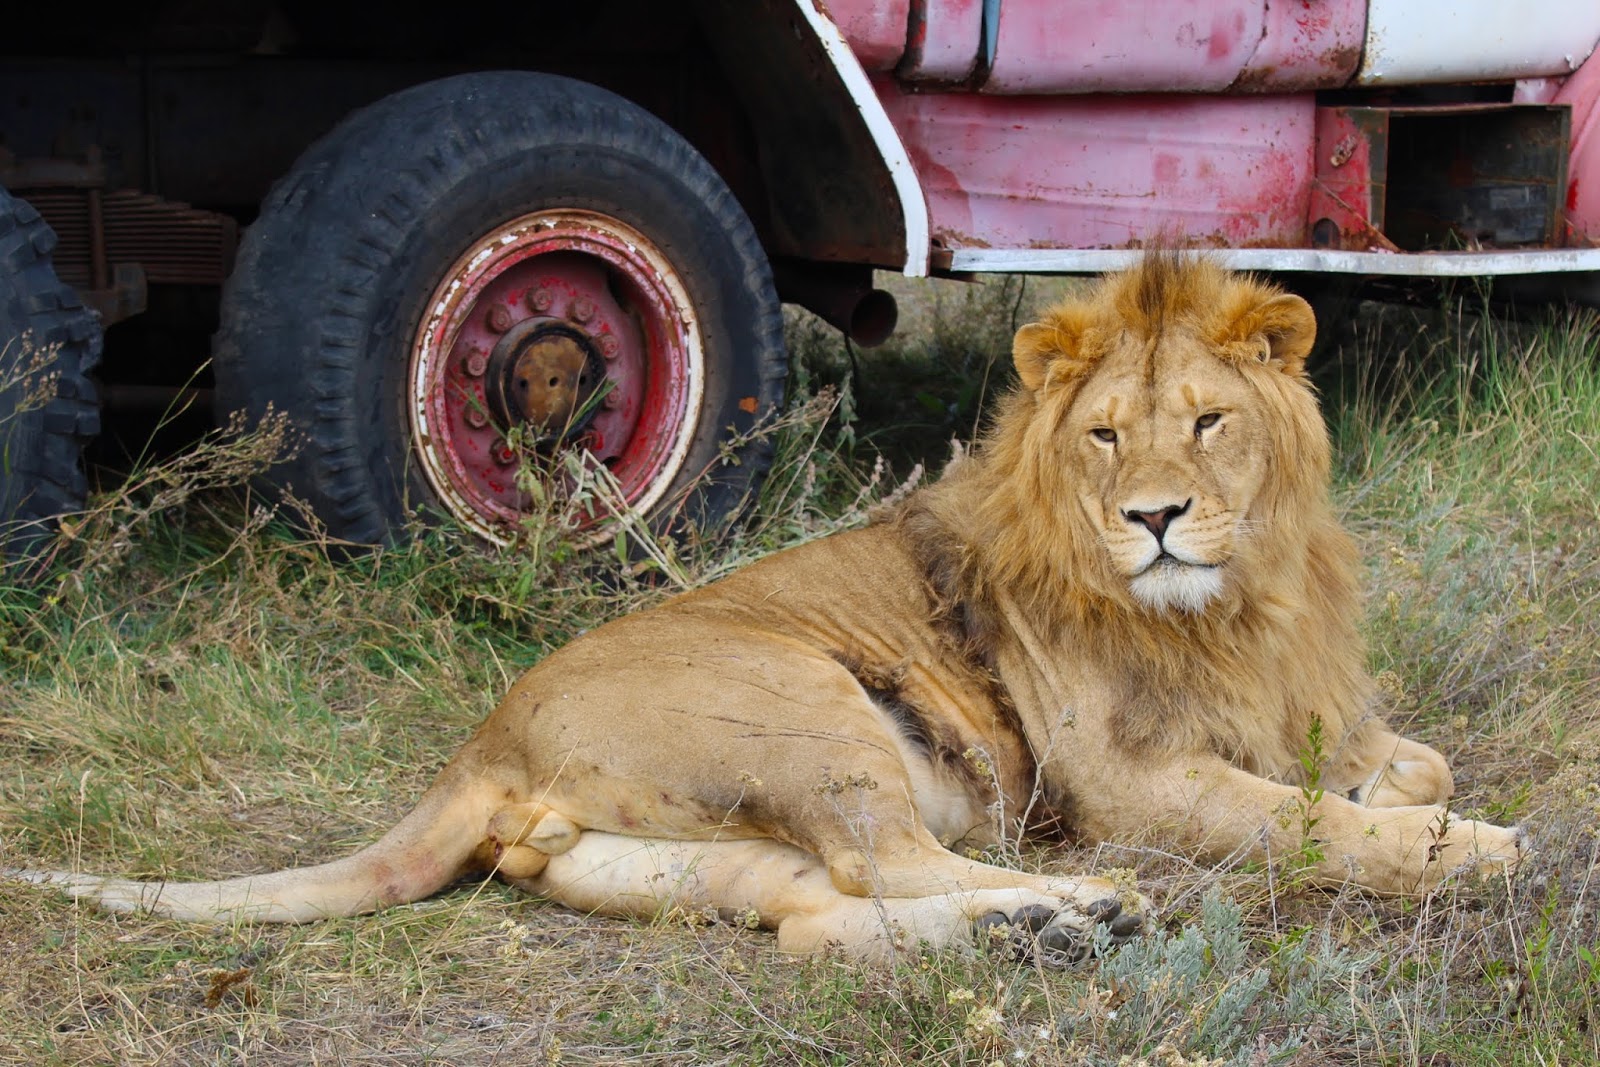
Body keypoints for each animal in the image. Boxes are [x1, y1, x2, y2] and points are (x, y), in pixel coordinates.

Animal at [25, 255, 1523, 966]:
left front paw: (1426, 805)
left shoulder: (1309, 705)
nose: (1153, 518)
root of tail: (486, 740)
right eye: (1103, 435)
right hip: (808, 705)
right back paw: (1082, 904)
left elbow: (1416, 761)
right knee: (890, 861)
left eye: (1207, 422)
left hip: (679, 847)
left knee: (816, 911)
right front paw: (1461, 853)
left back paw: (1036, 930)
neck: (1233, 600)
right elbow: (1306, 818)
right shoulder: (1124, 773)